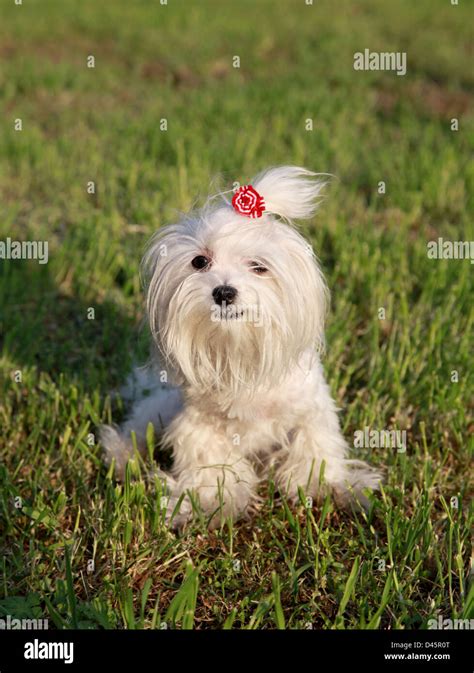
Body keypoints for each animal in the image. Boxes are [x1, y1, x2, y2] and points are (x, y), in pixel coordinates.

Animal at [101, 167, 382, 524]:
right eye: (199, 261)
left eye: (259, 266)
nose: (223, 292)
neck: (239, 352)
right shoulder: (200, 426)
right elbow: (211, 468)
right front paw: (206, 503)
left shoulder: (310, 411)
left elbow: (314, 452)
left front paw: (335, 488)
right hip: (161, 408)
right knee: (138, 424)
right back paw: (121, 454)